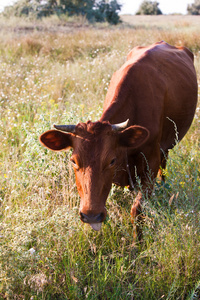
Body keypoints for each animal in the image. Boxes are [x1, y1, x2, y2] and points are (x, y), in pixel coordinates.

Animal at [39, 40, 198, 241]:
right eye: (73, 161)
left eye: (111, 161)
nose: (91, 216)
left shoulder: (150, 163)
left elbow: (137, 209)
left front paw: (138, 242)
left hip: (166, 147)